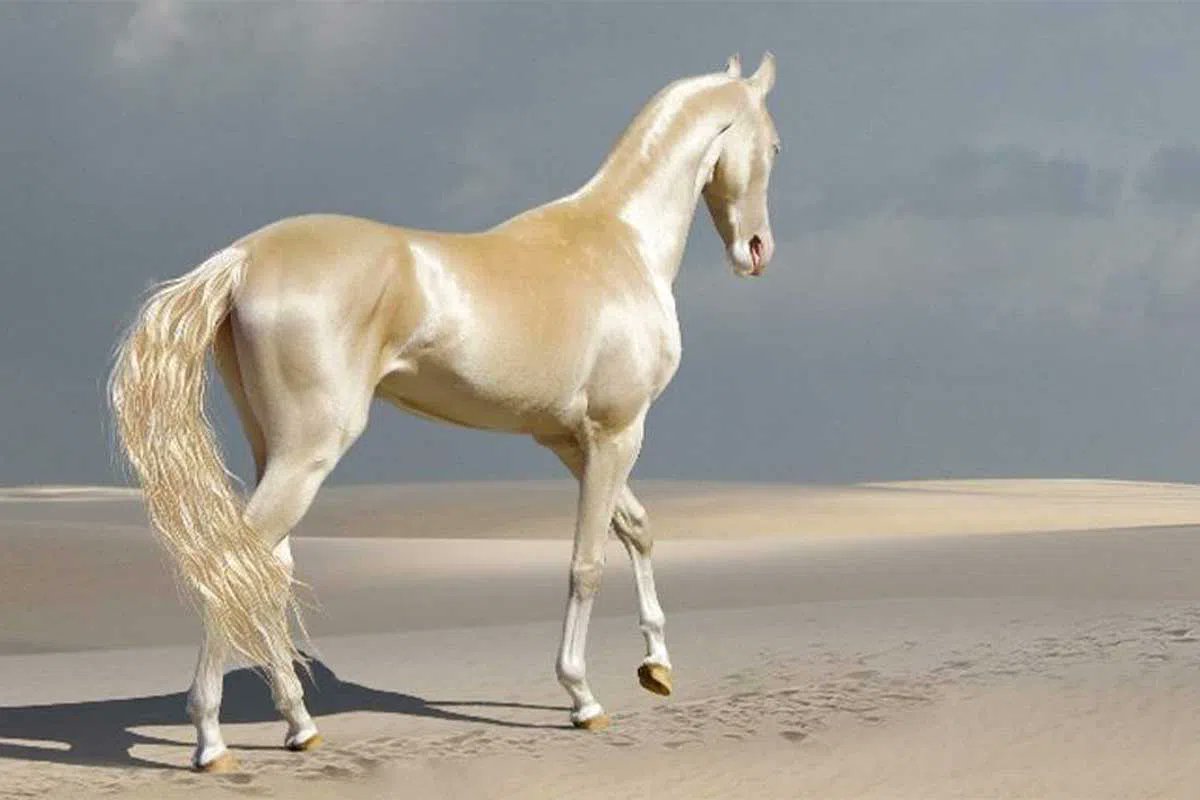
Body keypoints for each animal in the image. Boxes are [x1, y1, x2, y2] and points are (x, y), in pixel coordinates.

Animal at [108, 52, 780, 772]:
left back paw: (298, 723)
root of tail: (244, 257)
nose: (756, 251)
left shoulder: (570, 441)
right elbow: (588, 562)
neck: (619, 243)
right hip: (308, 453)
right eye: (773, 145)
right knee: (236, 567)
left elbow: (638, 529)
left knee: (266, 569)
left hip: (275, 451)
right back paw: (211, 741)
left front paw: (657, 666)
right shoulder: (616, 432)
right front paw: (582, 697)